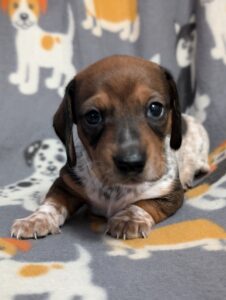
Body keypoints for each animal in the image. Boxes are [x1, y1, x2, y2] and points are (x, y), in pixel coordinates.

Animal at [10, 55, 208, 240]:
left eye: (155, 108)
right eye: (93, 116)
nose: (131, 163)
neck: (115, 188)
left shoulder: (169, 194)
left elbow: (144, 203)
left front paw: (129, 218)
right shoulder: (66, 183)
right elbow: (52, 202)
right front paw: (35, 220)